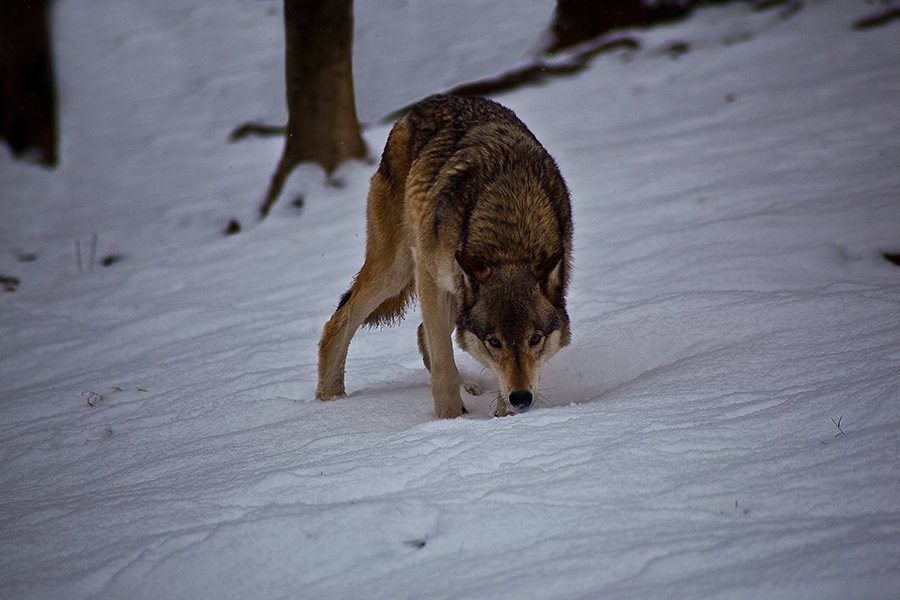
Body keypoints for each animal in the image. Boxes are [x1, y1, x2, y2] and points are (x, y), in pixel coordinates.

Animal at [316, 96, 568, 420]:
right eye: (494, 341)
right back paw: (329, 402)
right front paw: (450, 421)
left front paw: (503, 419)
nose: (522, 399)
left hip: (451, 291)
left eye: (535, 339)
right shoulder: (428, 273)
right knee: (338, 323)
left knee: (422, 331)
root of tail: (421, 105)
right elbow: (444, 367)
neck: (510, 231)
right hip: (398, 271)